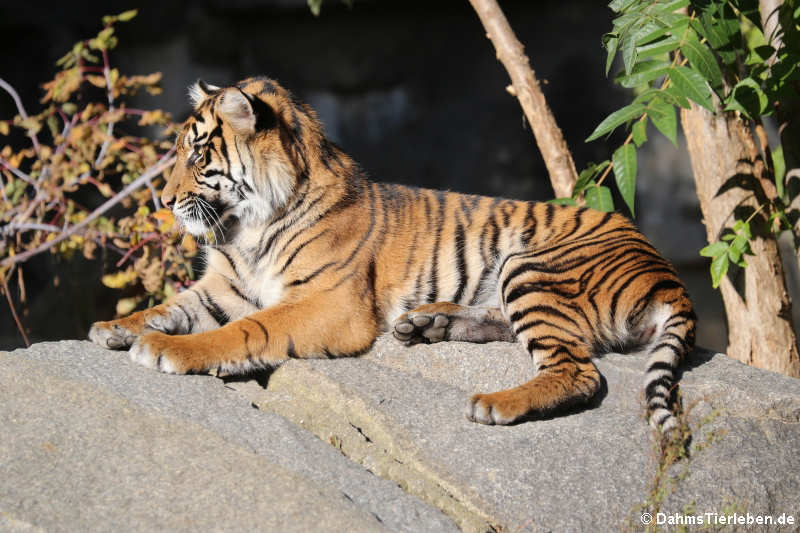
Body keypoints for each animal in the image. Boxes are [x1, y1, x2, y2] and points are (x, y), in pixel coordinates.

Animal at [87, 76, 692, 432]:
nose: (164, 200)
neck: (247, 226)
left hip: (534, 266)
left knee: (578, 370)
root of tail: (665, 268)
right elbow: (172, 306)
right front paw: (113, 328)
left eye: (196, 154)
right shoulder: (223, 287)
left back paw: (494, 404)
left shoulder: (330, 304)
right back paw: (426, 324)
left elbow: (245, 330)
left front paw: (164, 349)